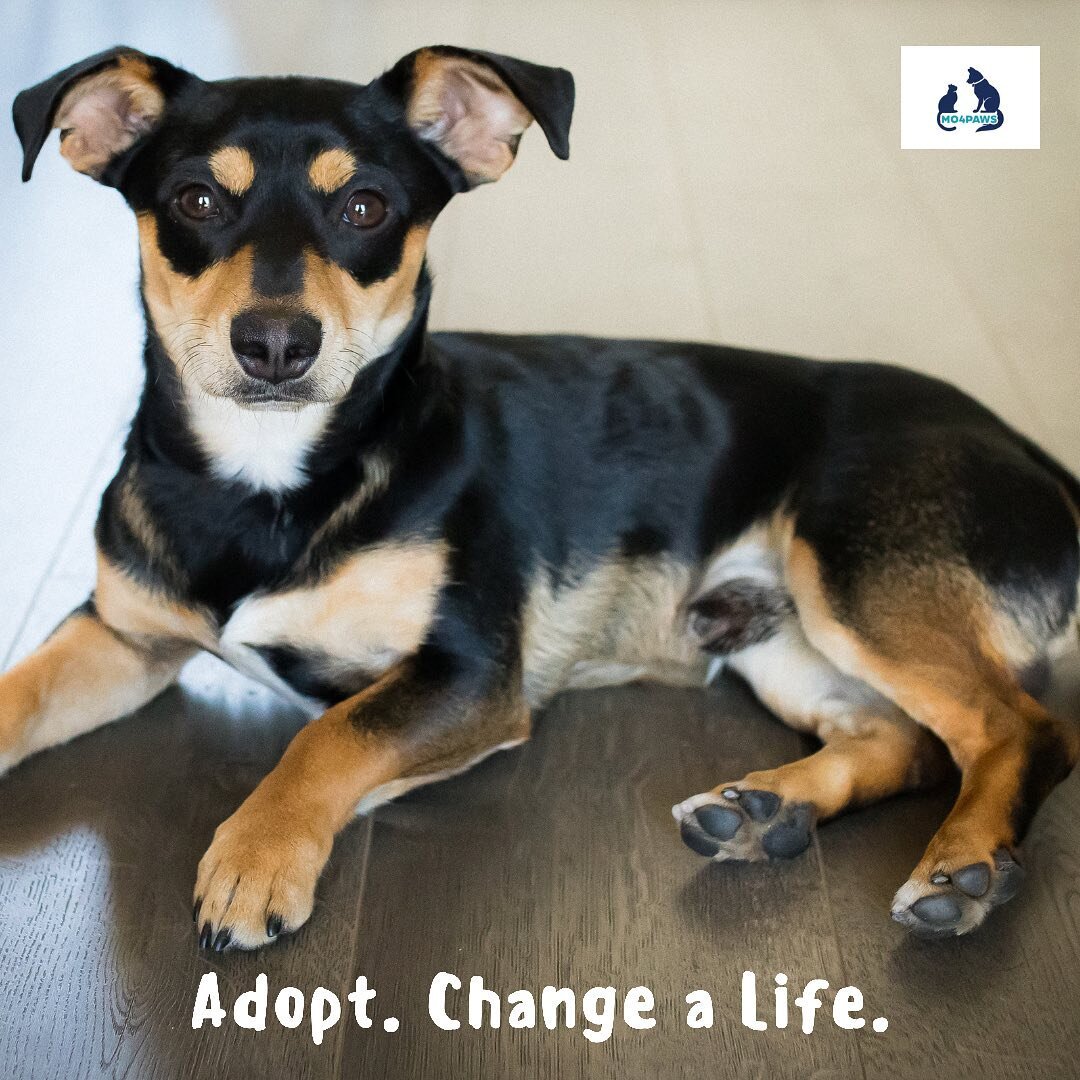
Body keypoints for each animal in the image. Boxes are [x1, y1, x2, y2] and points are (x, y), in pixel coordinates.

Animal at [8, 46, 1080, 950]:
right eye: (194, 200)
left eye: (365, 210)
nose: (276, 342)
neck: (269, 482)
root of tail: (1028, 448)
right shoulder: (120, 635)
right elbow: (20, 693)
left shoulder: (473, 673)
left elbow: (327, 734)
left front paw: (255, 859)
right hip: (779, 638)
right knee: (905, 742)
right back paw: (766, 812)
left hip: (853, 571)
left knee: (1021, 730)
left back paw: (964, 868)